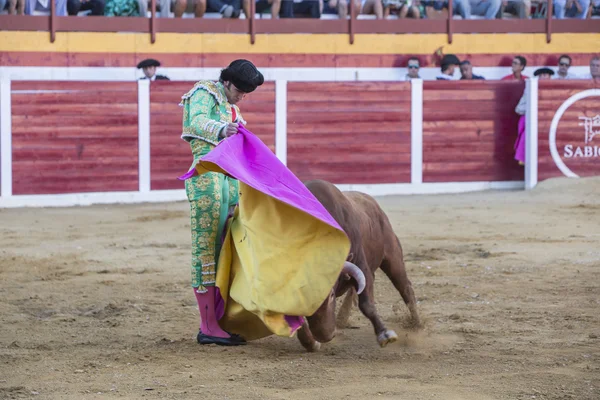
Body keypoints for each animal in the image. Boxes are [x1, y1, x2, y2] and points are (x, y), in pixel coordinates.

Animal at [296, 180, 420, 352]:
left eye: (331, 295)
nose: (324, 335)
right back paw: (342, 318)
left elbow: (366, 303)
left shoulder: (361, 265)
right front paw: (310, 342)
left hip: (393, 257)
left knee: (405, 287)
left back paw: (417, 324)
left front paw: (385, 334)